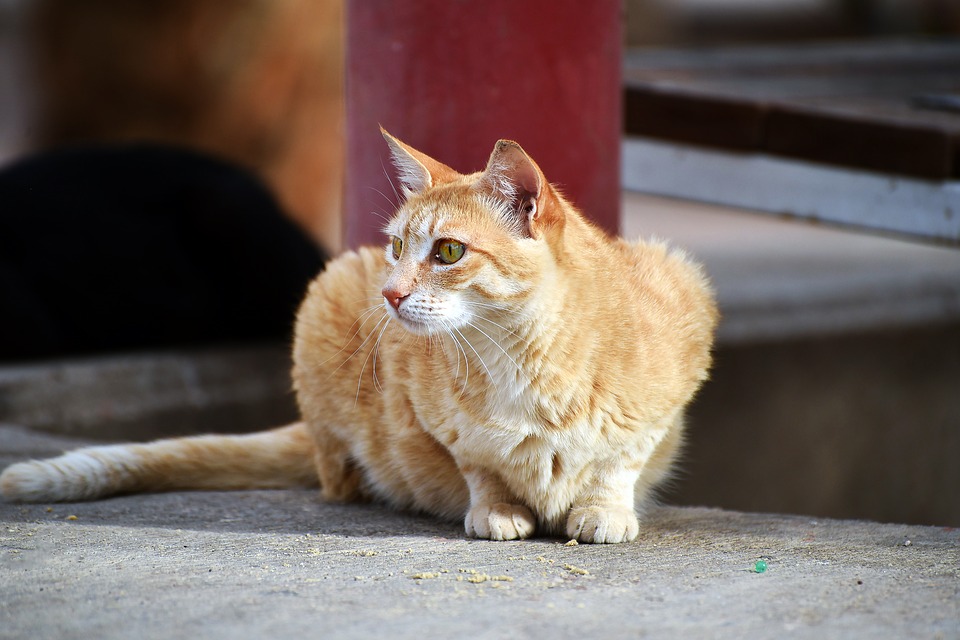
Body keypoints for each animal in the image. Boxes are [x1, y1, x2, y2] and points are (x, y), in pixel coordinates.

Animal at [0, 131, 716, 544]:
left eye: (449, 251)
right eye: (396, 246)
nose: (391, 295)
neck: (518, 358)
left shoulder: (683, 313)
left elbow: (618, 461)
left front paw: (605, 509)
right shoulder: (440, 424)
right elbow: (480, 466)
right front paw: (495, 506)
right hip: (326, 299)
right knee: (334, 473)